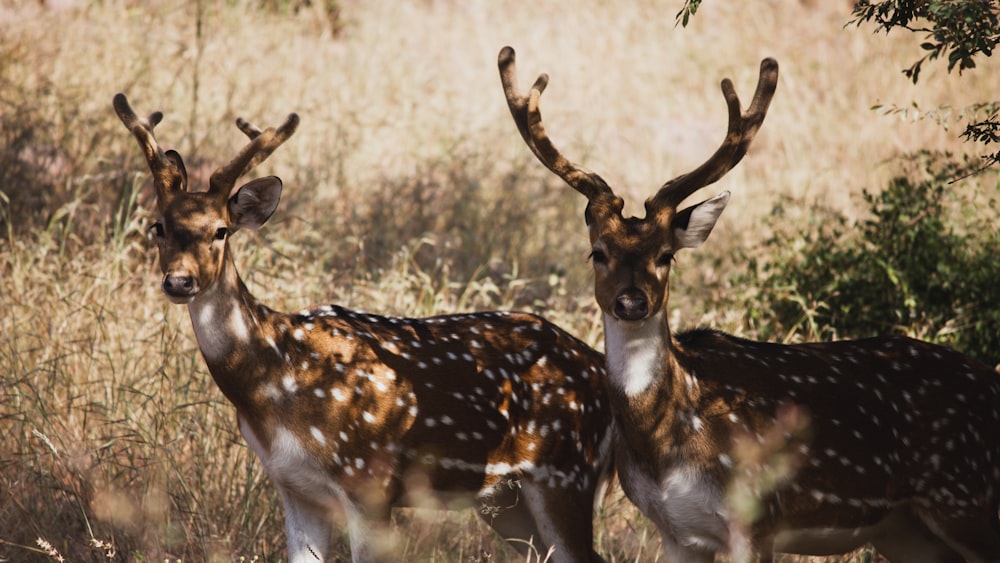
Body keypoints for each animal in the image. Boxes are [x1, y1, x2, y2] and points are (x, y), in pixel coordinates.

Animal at [113, 93, 612, 563]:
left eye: (221, 230)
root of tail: (600, 364)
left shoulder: (369, 479)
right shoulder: (294, 487)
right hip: (506, 500)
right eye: (159, 226)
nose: (179, 281)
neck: (276, 379)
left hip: (565, 473)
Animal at [500, 47, 1000, 563]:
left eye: (666, 255)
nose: (632, 301)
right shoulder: (675, 531)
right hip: (904, 530)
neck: (669, 441)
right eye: (598, 253)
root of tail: (992, 381)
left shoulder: (758, 516)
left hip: (965, 497)